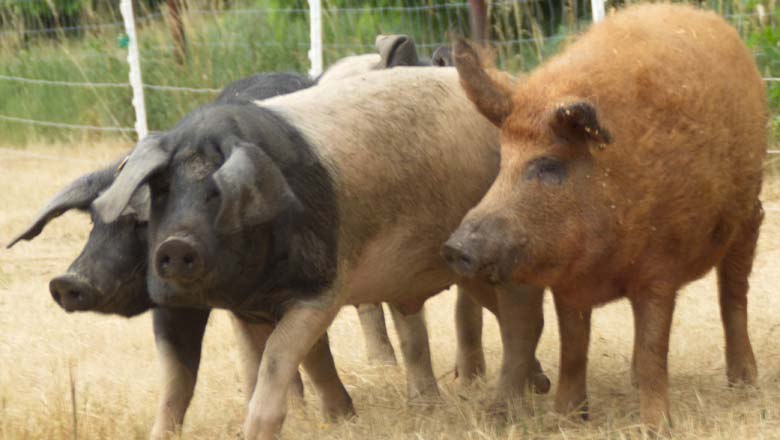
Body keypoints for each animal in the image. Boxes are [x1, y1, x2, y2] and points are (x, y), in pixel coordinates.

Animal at [92, 65, 550, 440]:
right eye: (162, 191)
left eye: (218, 194)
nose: (174, 245)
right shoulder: (243, 306)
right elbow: (250, 366)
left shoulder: (324, 285)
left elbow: (278, 356)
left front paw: (257, 431)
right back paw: (534, 385)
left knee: (522, 318)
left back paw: (513, 405)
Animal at [444, 3, 766, 429]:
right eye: (502, 161)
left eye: (548, 166)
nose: (454, 247)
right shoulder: (566, 285)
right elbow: (573, 347)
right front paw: (566, 419)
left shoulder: (660, 269)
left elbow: (653, 347)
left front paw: (656, 428)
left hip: (750, 212)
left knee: (733, 293)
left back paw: (744, 382)